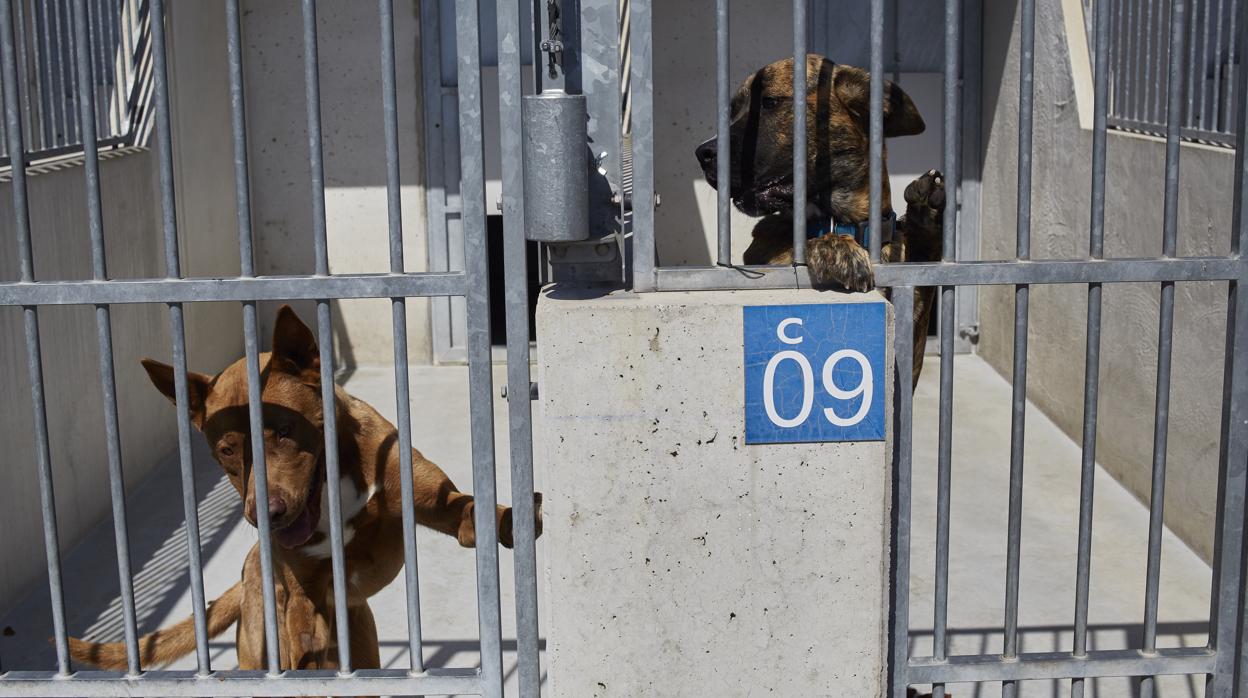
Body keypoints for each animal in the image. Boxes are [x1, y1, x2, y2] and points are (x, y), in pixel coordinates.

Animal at [65, 308, 539, 674]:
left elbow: (469, 511)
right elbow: (305, 637)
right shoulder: (302, 595)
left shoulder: (427, 499)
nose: (264, 515)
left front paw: (518, 517)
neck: (334, 487)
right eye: (226, 451)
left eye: (285, 430)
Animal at [693, 55, 943, 387]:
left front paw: (925, 217)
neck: (848, 222)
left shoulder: (910, 351)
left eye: (769, 102)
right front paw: (836, 247)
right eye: (733, 111)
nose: (702, 153)